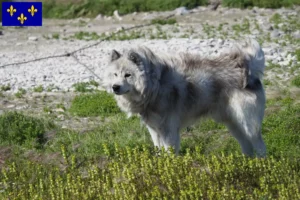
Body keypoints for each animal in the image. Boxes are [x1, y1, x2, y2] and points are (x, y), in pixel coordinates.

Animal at [102, 39, 266, 158]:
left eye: (127, 75)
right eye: (115, 75)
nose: (115, 87)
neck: (155, 85)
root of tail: (246, 66)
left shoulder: (169, 130)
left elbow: (169, 152)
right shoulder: (154, 130)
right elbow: (159, 151)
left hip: (247, 123)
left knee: (259, 145)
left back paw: (261, 165)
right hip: (233, 123)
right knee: (247, 145)